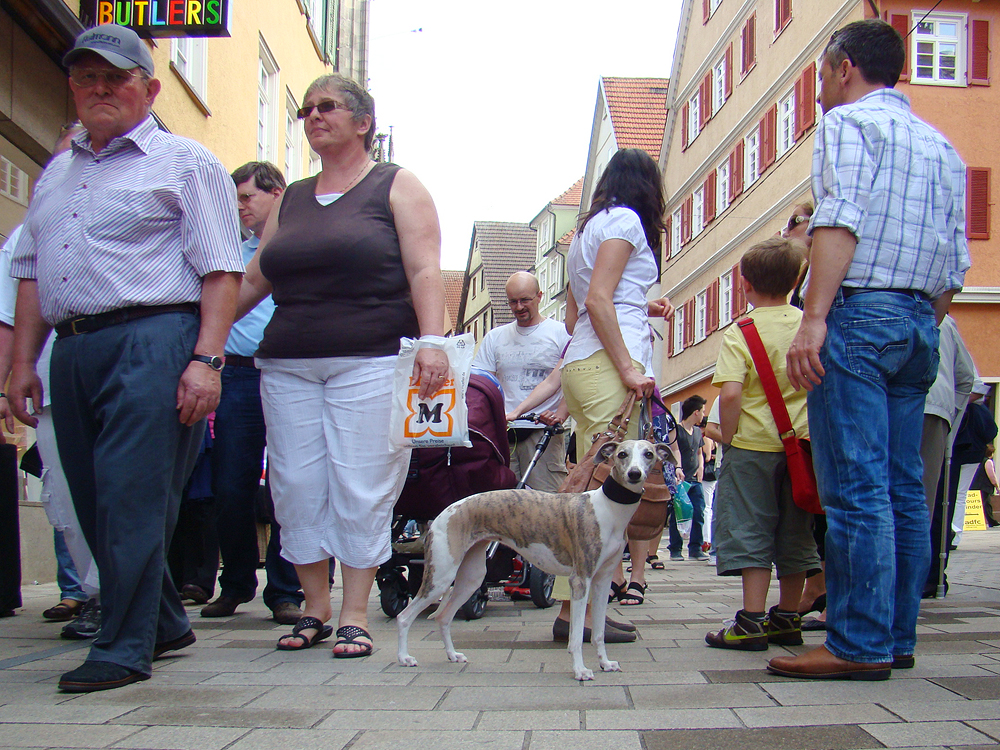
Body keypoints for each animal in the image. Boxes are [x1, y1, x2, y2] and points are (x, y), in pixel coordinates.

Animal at [398, 440, 672, 680]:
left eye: (648, 454)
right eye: (622, 454)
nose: (634, 474)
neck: (608, 508)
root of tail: (441, 515)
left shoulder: (603, 581)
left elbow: (599, 632)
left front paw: (605, 663)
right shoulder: (580, 580)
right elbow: (575, 636)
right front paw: (580, 671)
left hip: (470, 578)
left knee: (444, 616)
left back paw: (452, 655)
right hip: (440, 577)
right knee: (405, 616)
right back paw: (404, 658)